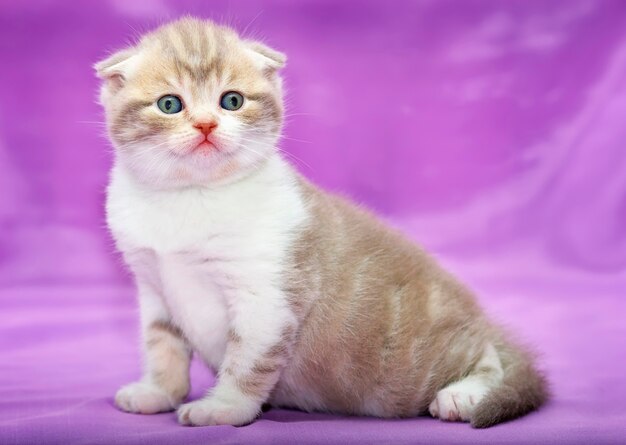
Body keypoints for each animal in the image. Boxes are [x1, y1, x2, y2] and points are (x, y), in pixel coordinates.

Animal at [95, 17, 544, 426]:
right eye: (170, 104)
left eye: (232, 101)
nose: (206, 124)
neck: (190, 196)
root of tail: (480, 319)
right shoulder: (153, 286)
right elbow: (163, 347)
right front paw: (157, 392)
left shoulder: (266, 298)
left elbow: (246, 362)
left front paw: (223, 408)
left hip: (421, 362)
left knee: (488, 357)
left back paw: (462, 395)